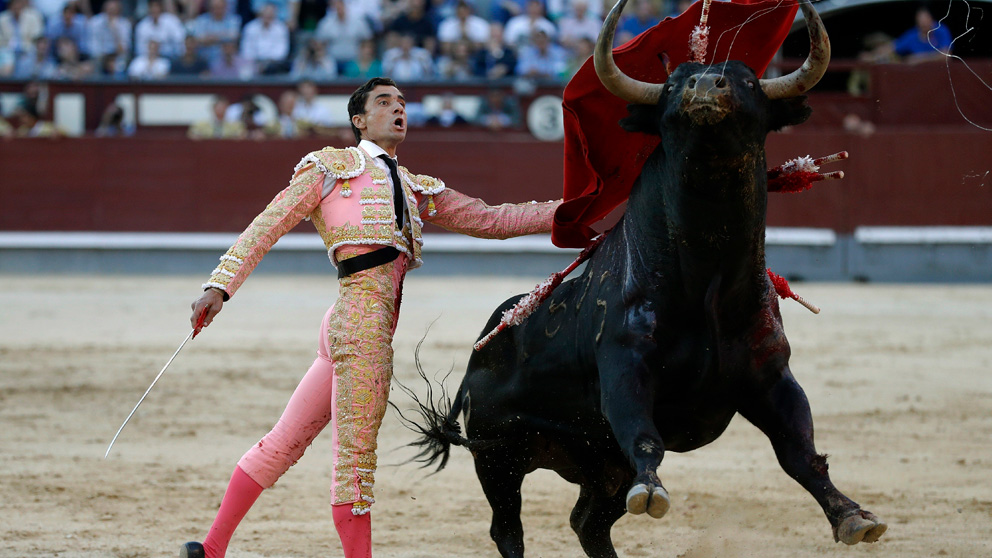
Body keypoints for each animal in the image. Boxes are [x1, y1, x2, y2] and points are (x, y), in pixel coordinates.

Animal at [406, 2, 888, 556]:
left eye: (747, 79)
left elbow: (800, 451)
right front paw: (654, 491)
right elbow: (642, 434)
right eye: (675, 84)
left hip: (599, 464)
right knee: (508, 529)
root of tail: (484, 343)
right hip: (498, 456)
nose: (705, 86)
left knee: (589, 522)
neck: (708, 281)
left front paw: (853, 515)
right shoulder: (624, 364)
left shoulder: (770, 375)